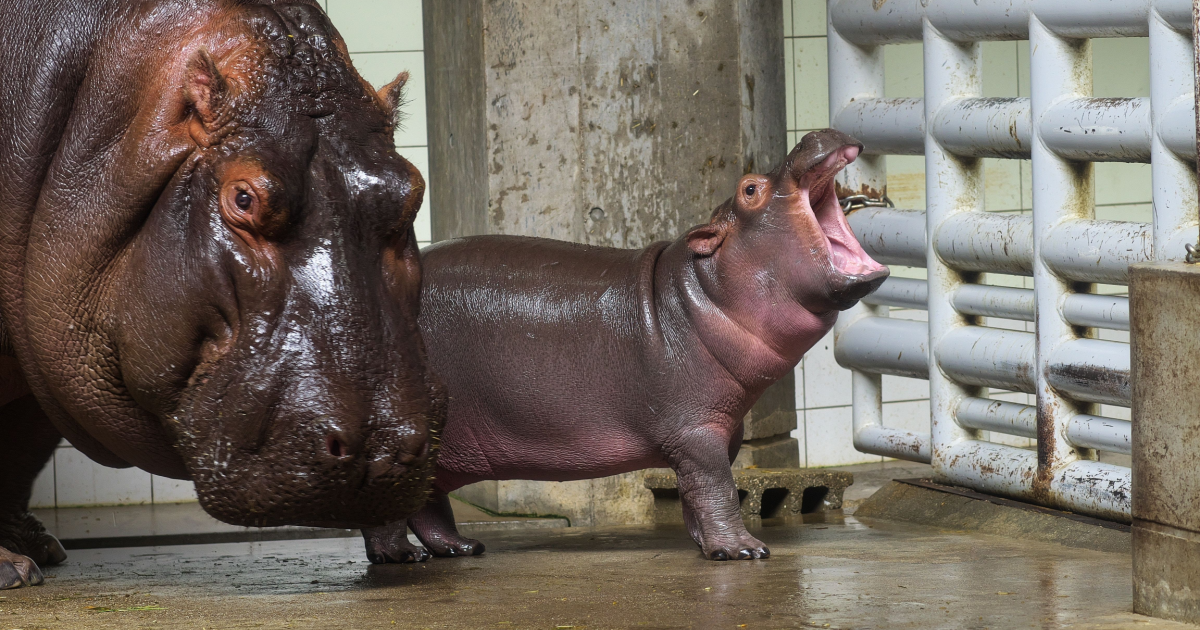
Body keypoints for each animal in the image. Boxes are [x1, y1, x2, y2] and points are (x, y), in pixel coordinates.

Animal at [0, 0, 443, 588]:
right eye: (243, 197)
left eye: (413, 191)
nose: (380, 448)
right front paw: (10, 571)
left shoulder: (36, 340)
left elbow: (20, 444)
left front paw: (30, 552)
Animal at [361, 129, 888, 562]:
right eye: (750, 189)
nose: (813, 134)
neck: (699, 294)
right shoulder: (696, 431)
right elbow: (716, 485)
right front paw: (743, 551)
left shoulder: (718, 432)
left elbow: (696, 492)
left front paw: (707, 544)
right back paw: (401, 557)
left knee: (427, 499)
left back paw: (461, 547)